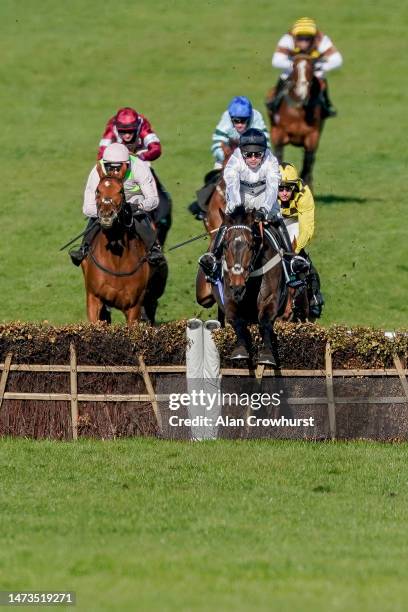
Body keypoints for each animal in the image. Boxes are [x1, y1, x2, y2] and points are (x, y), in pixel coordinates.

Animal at [266, 54, 324, 190]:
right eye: (293, 66)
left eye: (312, 67)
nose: (301, 91)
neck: (298, 109)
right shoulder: (278, 134)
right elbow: (279, 156)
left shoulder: (312, 136)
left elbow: (308, 161)